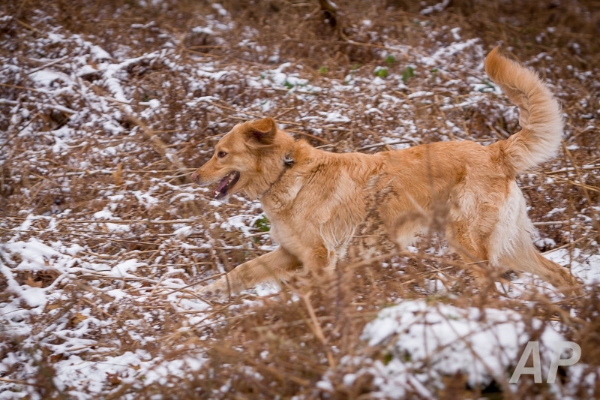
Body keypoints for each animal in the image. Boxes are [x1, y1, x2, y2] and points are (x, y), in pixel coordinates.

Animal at [191, 47, 576, 296]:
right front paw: (208, 292)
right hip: (508, 246)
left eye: (221, 154)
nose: (193, 176)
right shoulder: (290, 252)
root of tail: (494, 151)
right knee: (561, 274)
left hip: (469, 244)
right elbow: (243, 270)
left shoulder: (320, 258)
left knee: (496, 284)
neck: (287, 174)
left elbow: (305, 286)